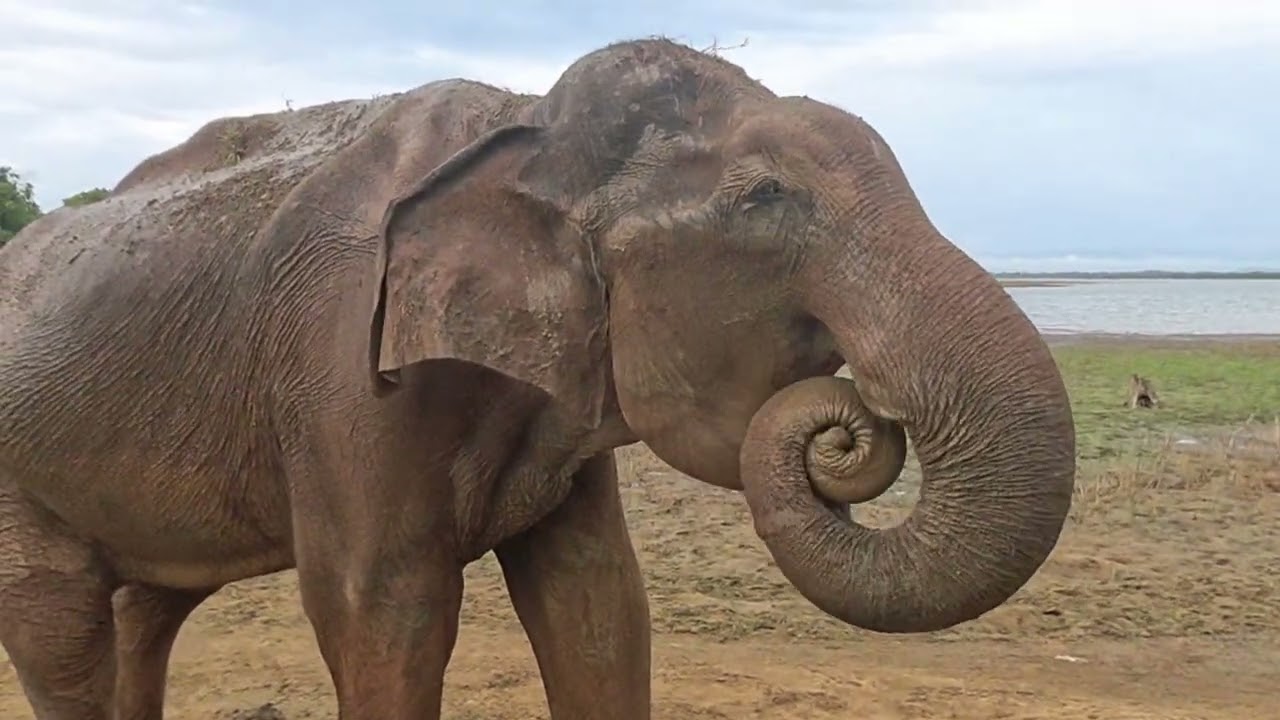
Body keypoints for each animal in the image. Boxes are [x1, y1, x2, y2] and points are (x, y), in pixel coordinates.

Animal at [0, 38, 1075, 720]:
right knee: (63, 635)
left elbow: (597, 601)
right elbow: (385, 610)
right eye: (765, 198)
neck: (523, 130)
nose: (850, 422)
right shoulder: (340, 365)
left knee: (142, 613)